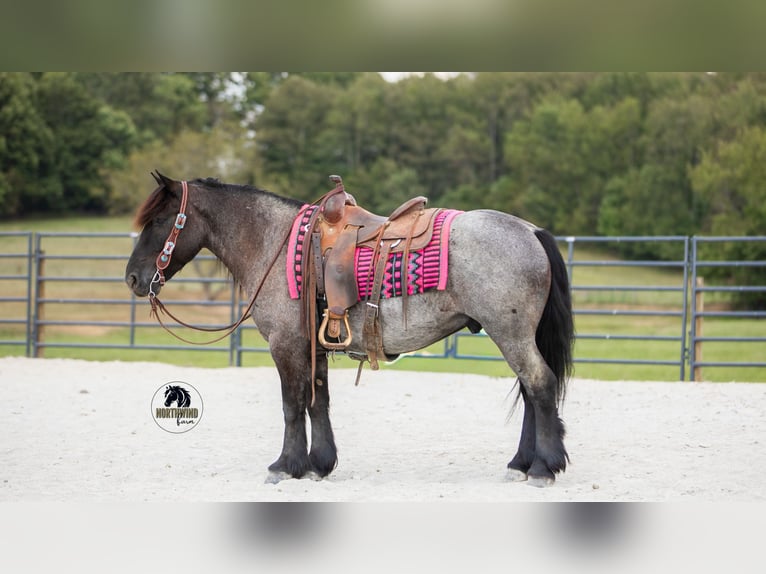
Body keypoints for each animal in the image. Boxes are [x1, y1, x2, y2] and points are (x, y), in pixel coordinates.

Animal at [125, 172, 574, 487]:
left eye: (160, 220)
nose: (132, 278)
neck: (275, 243)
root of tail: (531, 231)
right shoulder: (314, 346)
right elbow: (318, 402)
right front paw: (319, 465)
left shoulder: (286, 346)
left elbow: (292, 405)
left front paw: (285, 466)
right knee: (531, 392)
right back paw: (521, 464)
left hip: (511, 335)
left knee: (539, 385)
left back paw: (542, 468)